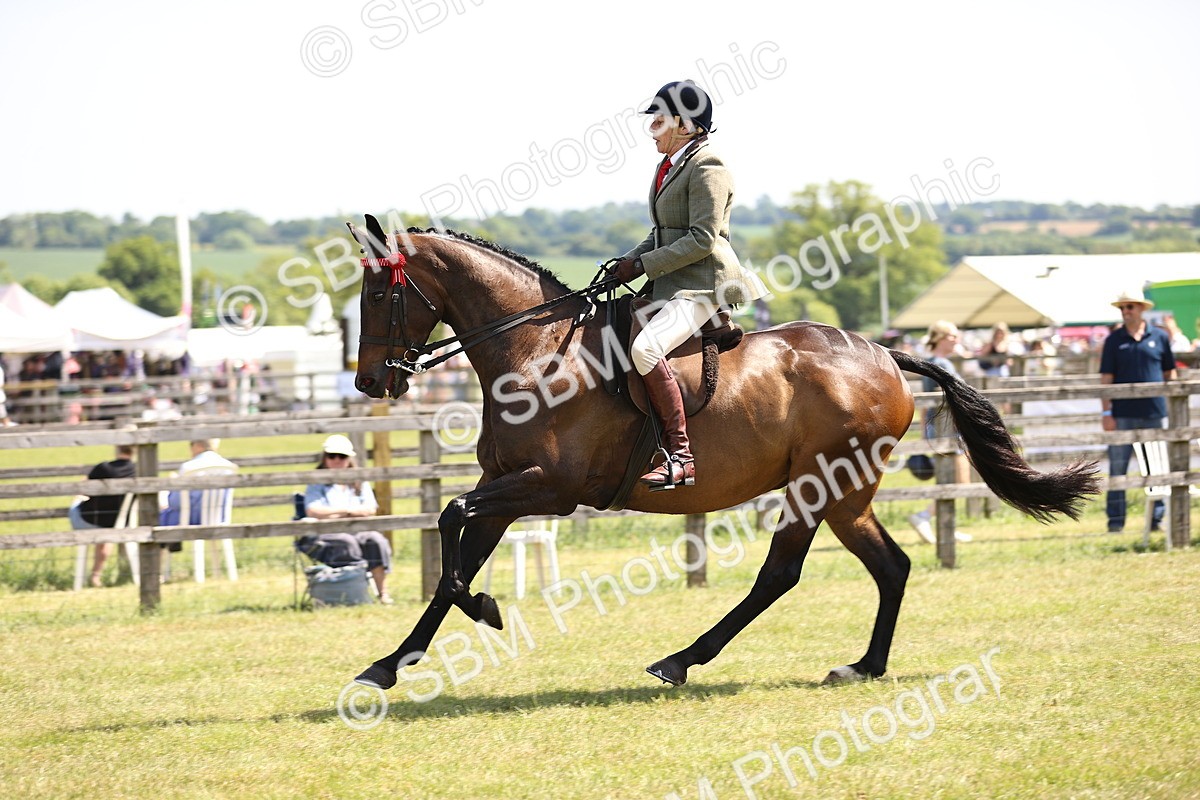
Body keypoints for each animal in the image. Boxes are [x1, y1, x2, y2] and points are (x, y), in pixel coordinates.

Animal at [348, 223, 1100, 691]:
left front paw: (484, 610)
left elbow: (451, 520)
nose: (369, 383)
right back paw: (862, 667)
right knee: (890, 566)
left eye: (380, 293)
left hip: (818, 485)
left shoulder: (549, 488)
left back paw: (683, 660)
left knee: (781, 574)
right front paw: (389, 663)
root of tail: (885, 353)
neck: (535, 352)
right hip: (846, 495)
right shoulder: (505, 483)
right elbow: (457, 552)